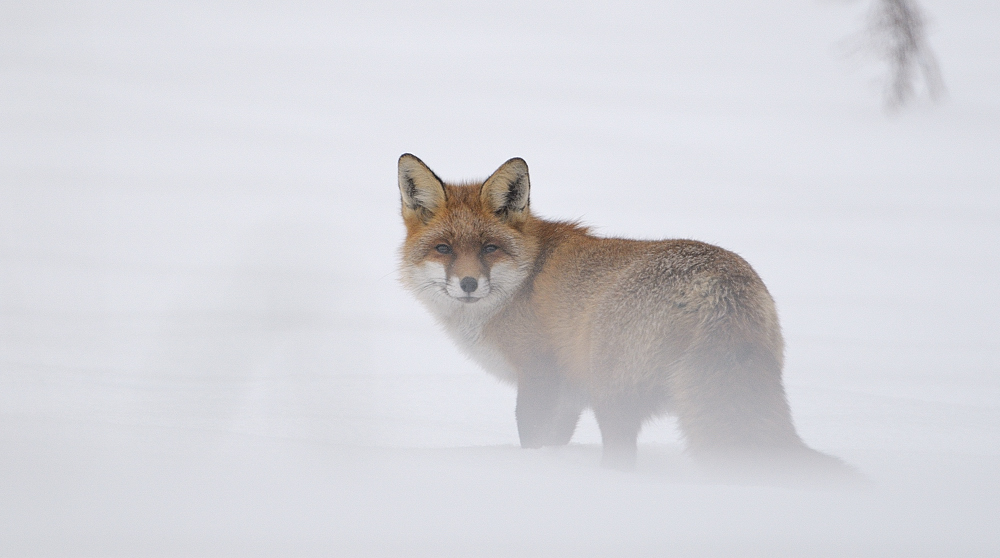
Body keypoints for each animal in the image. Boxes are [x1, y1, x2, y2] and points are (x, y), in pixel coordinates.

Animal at [397, 153, 850, 474]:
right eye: (444, 249)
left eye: (490, 248)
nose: (468, 284)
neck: (524, 282)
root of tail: (718, 284)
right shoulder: (568, 397)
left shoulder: (541, 375)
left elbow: (532, 439)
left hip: (611, 395)